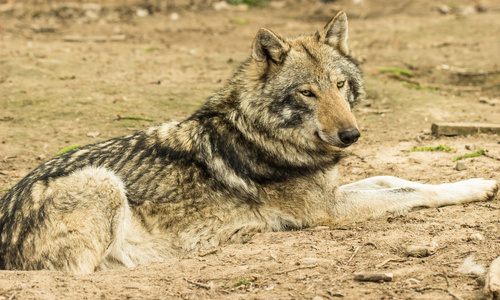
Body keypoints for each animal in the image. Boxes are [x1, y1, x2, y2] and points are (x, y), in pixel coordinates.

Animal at [0, 12, 498, 274]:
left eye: (340, 86)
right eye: (307, 93)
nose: (351, 135)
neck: (260, 131)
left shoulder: (332, 190)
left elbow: (392, 176)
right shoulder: (329, 211)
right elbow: (413, 190)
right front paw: (476, 186)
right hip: (102, 183)